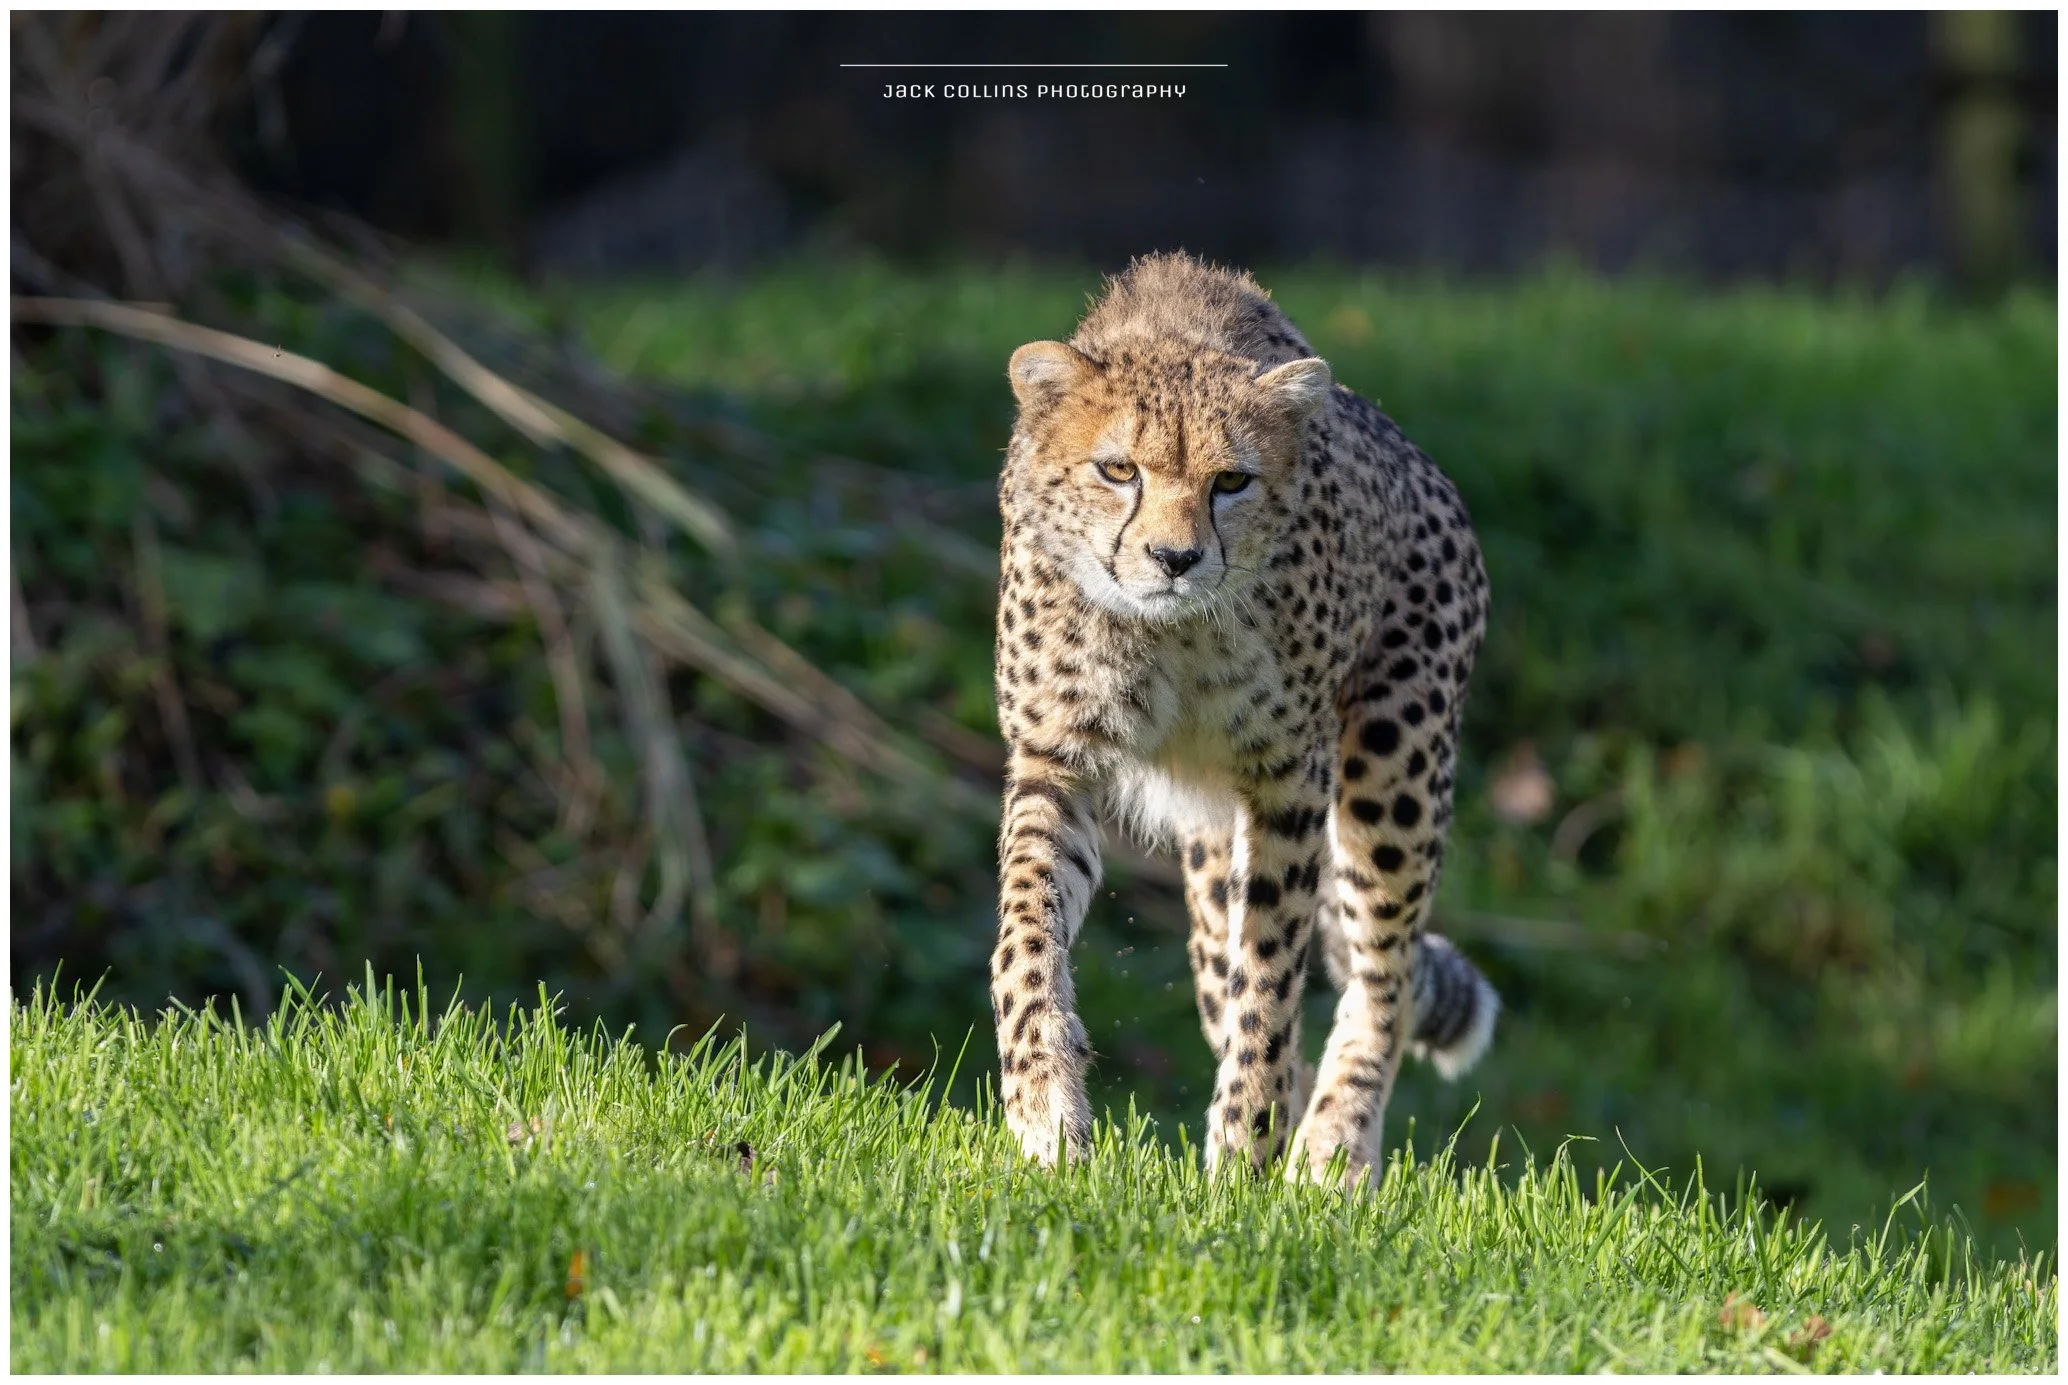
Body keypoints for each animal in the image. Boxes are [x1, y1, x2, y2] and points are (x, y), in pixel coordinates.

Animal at [987, 251, 1499, 1188]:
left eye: (1231, 481)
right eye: (1119, 471)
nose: (1174, 557)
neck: (1170, 631)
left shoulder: (1287, 779)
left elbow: (1271, 973)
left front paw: (1244, 1155)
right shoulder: (1055, 754)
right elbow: (1027, 929)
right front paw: (1044, 1100)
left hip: (1394, 769)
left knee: (1385, 978)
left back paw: (1333, 1149)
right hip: (1209, 845)